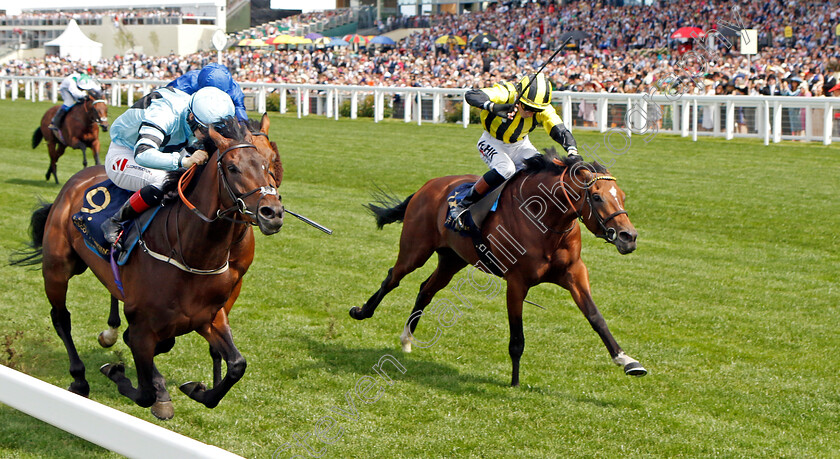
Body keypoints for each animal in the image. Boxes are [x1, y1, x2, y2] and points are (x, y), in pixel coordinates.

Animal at [12, 117, 286, 420]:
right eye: (232, 167)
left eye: (268, 162)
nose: (272, 212)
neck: (190, 254)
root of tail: (74, 182)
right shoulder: (143, 328)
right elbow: (143, 392)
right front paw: (122, 374)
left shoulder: (209, 315)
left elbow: (236, 364)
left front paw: (198, 389)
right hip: (58, 268)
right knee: (61, 317)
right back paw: (80, 378)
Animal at [352, 152, 648, 388]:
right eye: (596, 197)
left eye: (622, 197)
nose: (628, 237)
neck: (544, 220)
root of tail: (428, 186)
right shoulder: (517, 282)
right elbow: (517, 337)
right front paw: (515, 382)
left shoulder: (574, 273)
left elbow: (596, 317)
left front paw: (627, 360)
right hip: (415, 250)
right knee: (393, 277)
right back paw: (362, 312)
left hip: (452, 259)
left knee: (426, 290)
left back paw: (407, 339)